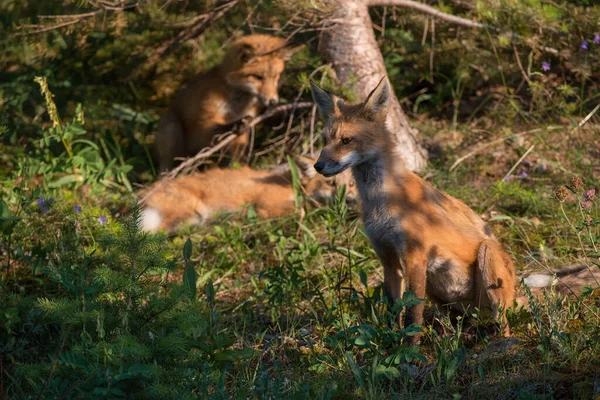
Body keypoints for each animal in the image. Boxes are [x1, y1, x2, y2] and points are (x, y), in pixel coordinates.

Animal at [139, 155, 356, 233]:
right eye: (330, 183)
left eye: (352, 184)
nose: (350, 199)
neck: (292, 186)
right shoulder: (265, 205)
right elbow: (302, 210)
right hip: (191, 213)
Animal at [157, 35, 302, 171]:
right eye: (258, 77)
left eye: (276, 76)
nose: (273, 101)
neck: (236, 105)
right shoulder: (204, 120)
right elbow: (214, 127)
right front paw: (236, 124)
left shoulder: (242, 134)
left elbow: (237, 159)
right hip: (172, 130)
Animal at [310, 76, 516, 342]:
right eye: (325, 141)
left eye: (346, 140)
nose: (318, 166)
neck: (380, 201)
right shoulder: (387, 257)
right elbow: (393, 309)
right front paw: (390, 341)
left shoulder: (415, 256)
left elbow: (413, 315)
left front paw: (410, 347)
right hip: (442, 296)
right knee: (460, 322)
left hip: (488, 259)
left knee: (504, 325)